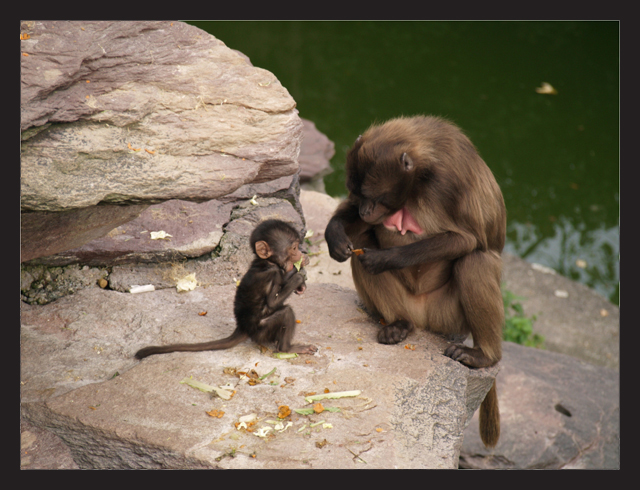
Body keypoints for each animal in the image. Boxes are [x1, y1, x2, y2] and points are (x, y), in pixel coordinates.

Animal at [136, 220, 318, 358]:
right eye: (293, 248)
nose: (301, 253)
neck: (266, 262)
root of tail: (243, 327)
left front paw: (301, 282)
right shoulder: (271, 274)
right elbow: (273, 302)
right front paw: (299, 275)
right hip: (260, 331)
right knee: (285, 312)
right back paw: (287, 348)